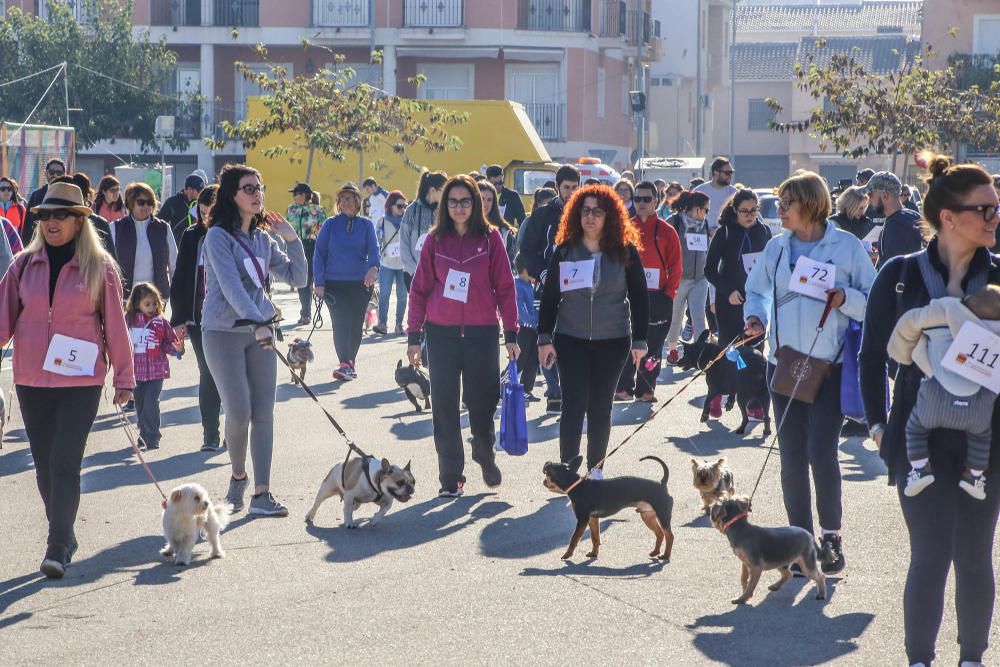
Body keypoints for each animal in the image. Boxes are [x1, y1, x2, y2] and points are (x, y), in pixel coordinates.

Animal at [544, 456, 676, 560]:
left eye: (547, 475)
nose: (544, 482)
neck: (578, 486)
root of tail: (662, 484)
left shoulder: (583, 520)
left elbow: (574, 538)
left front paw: (567, 555)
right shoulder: (592, 519)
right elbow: (595, 538)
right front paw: (594, 553)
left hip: (662, 516)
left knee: (669, 536)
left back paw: (665, 556)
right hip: (647, 516)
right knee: (660, 534)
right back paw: (655, 552)